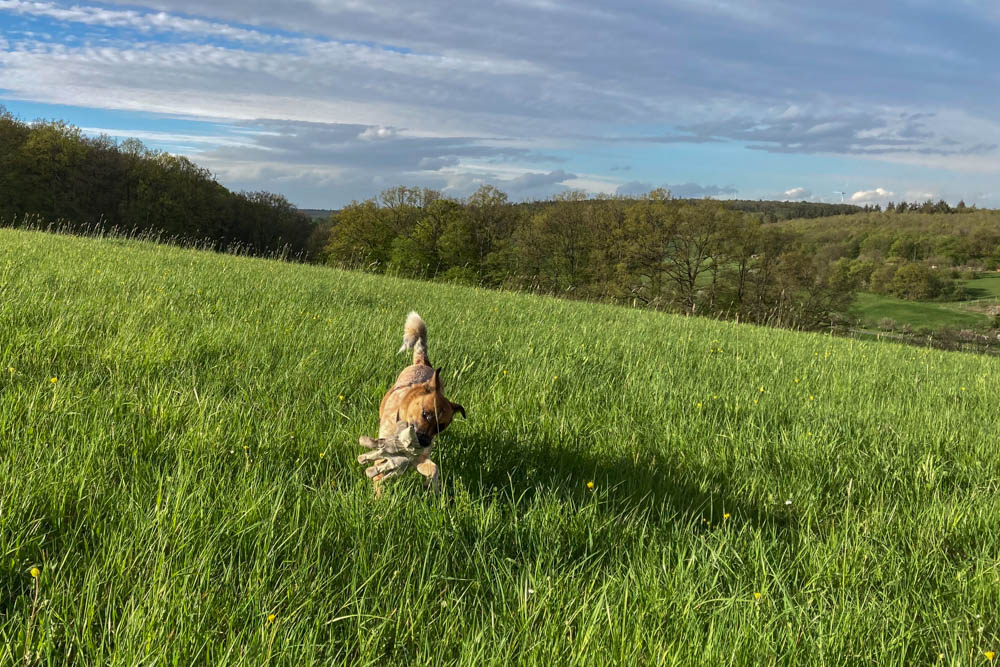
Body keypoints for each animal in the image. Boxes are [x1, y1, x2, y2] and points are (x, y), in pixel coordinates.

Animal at [364, 312, 464, 490]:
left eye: (441, 427)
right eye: (426, 414)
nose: (424, 442)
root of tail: (421, 362)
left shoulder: (421, 457)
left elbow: (433, 468)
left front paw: (431, 486)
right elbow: (379, 472)